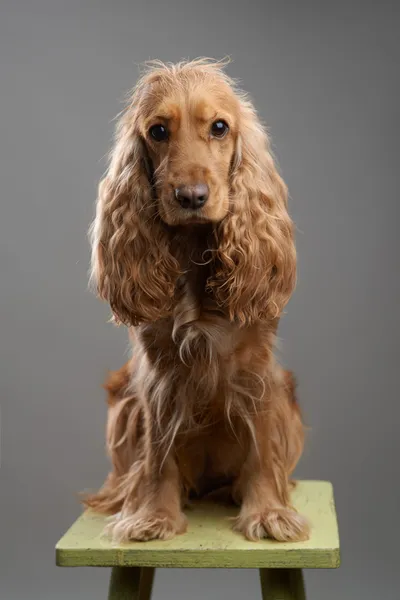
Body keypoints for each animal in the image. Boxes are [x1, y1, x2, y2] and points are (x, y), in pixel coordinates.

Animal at [84, 57, 310, 544]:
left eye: (220, 127)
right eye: (158, 131)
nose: (191, 197)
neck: (192, 253)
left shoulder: (257, 369)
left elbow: (262, 447)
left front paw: (269, 513)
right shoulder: (158, 376)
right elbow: (157, 453)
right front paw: (152, 515)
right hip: (121, 406)